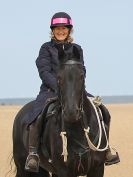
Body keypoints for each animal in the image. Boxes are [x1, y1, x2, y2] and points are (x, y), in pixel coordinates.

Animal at [12, 46, 110, 177]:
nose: (71, 113)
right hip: (22, 166)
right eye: (59, 77)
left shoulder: (97, 169)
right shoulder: (64, 171)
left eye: (81, 76)